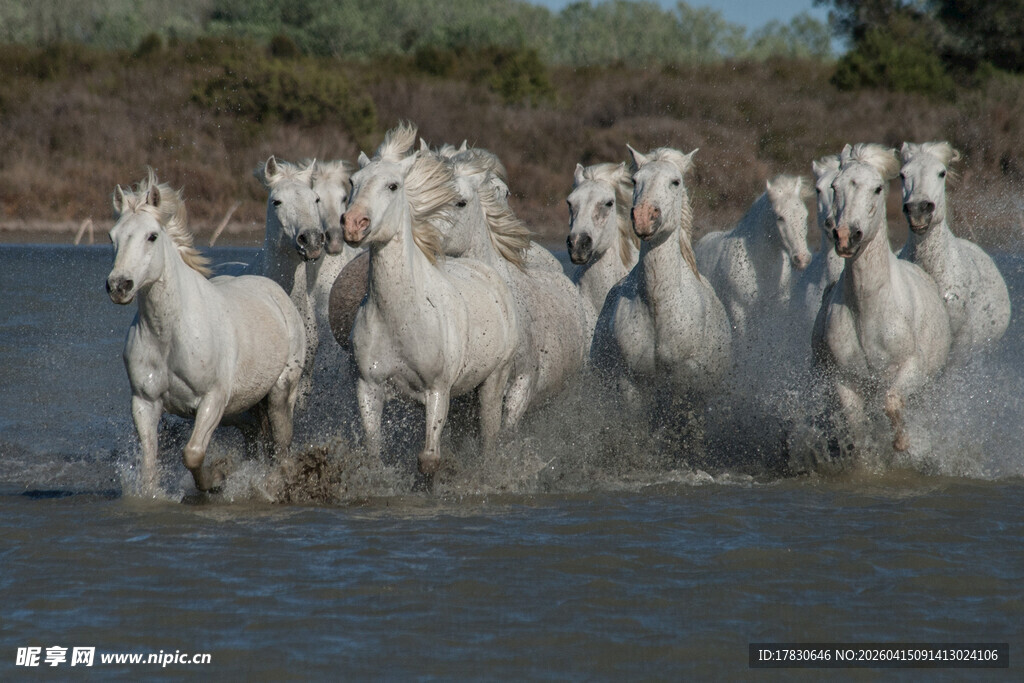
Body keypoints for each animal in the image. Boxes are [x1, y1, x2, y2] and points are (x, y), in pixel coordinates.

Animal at [106, 171, 305, 492]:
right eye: (112, 237)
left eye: (152, 236)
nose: (119, 286)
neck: (169, 335)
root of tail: (276, 293)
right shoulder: (144, 403)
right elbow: (149, 465)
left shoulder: (212, 399)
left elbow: (193, 453)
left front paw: (218, 477)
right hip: (238, 409)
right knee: (254, 434)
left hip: (280, 392)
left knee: (281, 445)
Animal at [341, 124, 519, 476]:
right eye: (353, 182)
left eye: (393, 186)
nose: (353, 224)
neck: (404, 317)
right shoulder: (368, 387)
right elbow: (373, 454)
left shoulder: (437, 390)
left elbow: (428, 460)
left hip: (494, 380)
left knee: (489, 440)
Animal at [591, 145, 732, 424]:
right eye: (635, 181)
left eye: (675, 182)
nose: (644, 217)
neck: (658, 307)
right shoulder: (630, 386)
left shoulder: (684, 388)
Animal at [812, 143, 951, 456]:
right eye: (834, 187)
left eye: (877, 189)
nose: (845, 236)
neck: (867, 312)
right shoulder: (844, 380)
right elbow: (857, 426)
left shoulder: (911, 368)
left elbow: (891, 400)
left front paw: (902, 443)